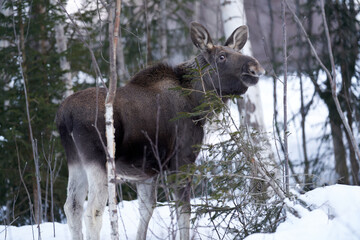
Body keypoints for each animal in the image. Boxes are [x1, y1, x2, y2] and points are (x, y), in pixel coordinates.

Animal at [56, 22, 264, 240]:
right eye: (222, 56)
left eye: (239, 51)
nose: (255, 68)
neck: (198, 103)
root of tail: (65, 115)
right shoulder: (182, 159)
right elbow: (184, 211)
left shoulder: (147, 171)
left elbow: (147, 208)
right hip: (99, 160)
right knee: (93, 211)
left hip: (76, 160)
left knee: (72, 207)